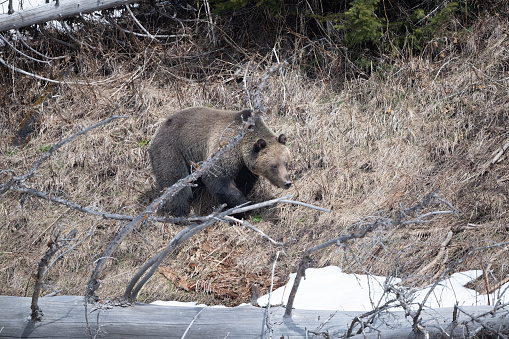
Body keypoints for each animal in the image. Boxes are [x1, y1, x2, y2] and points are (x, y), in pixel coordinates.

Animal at [148, 107, 290, 218]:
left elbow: (244, 182)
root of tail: (158, 130)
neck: (241, 148)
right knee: (176, 182)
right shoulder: (225, 147)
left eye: (286, 163)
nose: (287, 183)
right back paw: (180, 212)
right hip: (172, 149)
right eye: (274, 166)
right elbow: (219, 179)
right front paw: (243, 207)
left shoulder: (244, 166)